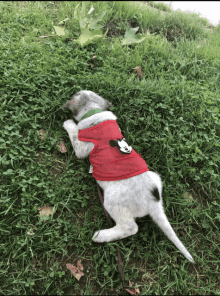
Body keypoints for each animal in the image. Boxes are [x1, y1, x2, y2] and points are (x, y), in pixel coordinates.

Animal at [62, 89, 194, 262]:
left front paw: (68, 123)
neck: (94, 110)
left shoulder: (82, 148)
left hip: (112, 201)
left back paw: (101, 235)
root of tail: (154, 202)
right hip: (155, 176)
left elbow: (74, 134)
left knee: (131, 228)